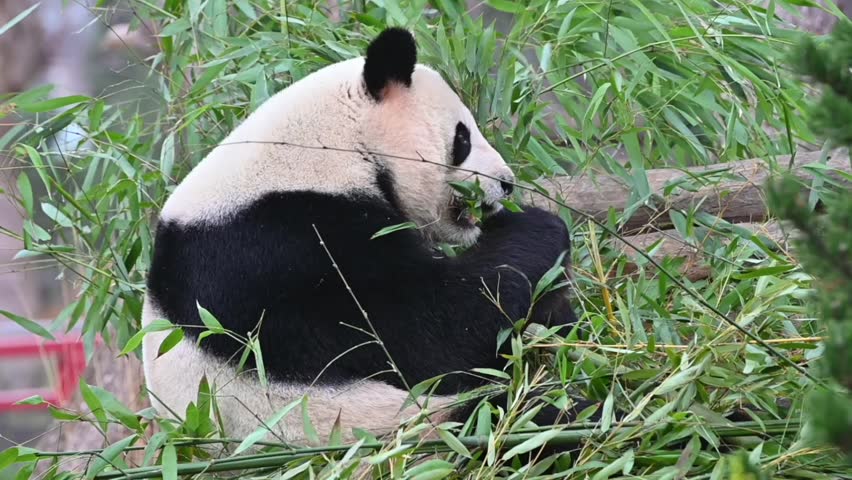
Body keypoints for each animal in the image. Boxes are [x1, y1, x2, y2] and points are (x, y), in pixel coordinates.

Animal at [141, 27, 585, 447]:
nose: (506, 183)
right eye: (462, 137)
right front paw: (536, 228)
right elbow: (424, 331)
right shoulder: (273, 248)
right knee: (520, 418)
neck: (324, 148)